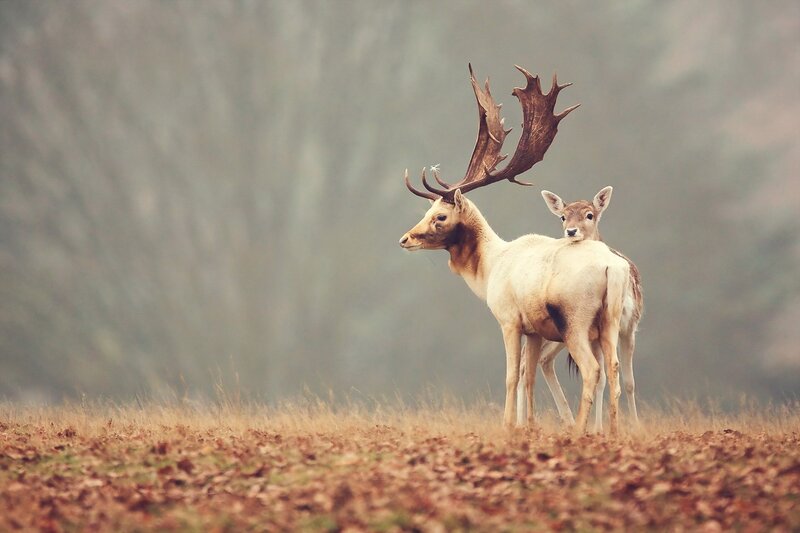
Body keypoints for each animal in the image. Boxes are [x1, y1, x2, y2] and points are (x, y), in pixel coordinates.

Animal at [398, 65, 631, 436]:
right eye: (427, 210)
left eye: (440, 216)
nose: (405, 239)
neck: (490, 268)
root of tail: (613, 268)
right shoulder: (534, 329)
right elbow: (528, 376)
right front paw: (529, 425)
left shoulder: (508, 319)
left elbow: (511, 376)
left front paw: (508, 424)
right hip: (610, 320)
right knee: (614, 370)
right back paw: (612, 431)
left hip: (575, 320)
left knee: (592, 370)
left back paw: (579, 430)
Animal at [516, 187, 644, 431]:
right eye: (563, 216)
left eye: (589, 215)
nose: (571, 231)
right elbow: (604, 378)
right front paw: (598, 428)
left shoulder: (630, 325)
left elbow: (629, 381)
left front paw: (631, 425)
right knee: (528, 363)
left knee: (540, 361)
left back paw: (563, 421)